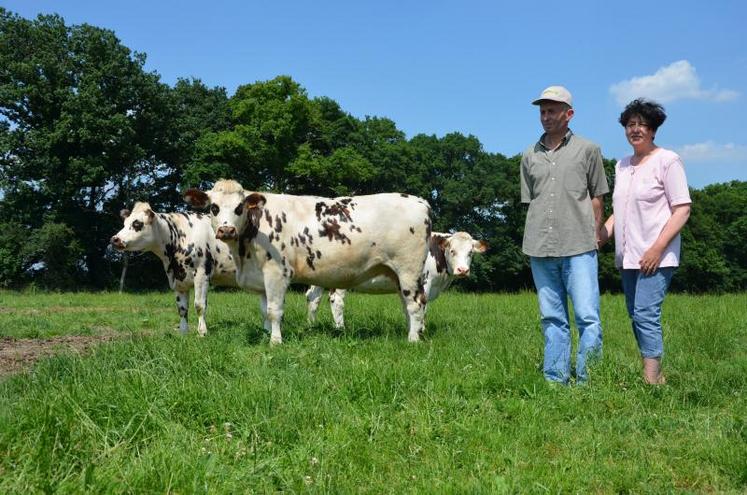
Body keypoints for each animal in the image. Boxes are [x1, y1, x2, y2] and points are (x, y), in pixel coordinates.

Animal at [108, 202, 235, 338]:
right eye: (124, 223)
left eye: (137, 223)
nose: (115, 239)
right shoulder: (178, 280)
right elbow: (182, 308)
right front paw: (183, 333)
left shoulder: (202, 274)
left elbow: (199, 305)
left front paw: (202, 333)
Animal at [184, 179, 432, 344]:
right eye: (213, 207)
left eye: (239, 207)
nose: (227, 230)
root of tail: (420, 201)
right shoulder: (260, 278)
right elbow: (265, 311)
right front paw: (267, 334)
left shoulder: (277, 272)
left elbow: (274, 310)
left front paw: (275, 341)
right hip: (396, 274)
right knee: (407, 305)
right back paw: (415, 332)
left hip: (408, 270)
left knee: (415, 303)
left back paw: (412, 340)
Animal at [306, 232, 488, 330]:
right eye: (452, 250)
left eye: (471, 252)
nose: (462, 270)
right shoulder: (424, 283)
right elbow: (422, 308)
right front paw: (421, 329)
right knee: (336, 300)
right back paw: (340, 328)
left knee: (313, 297)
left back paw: (312, 325)